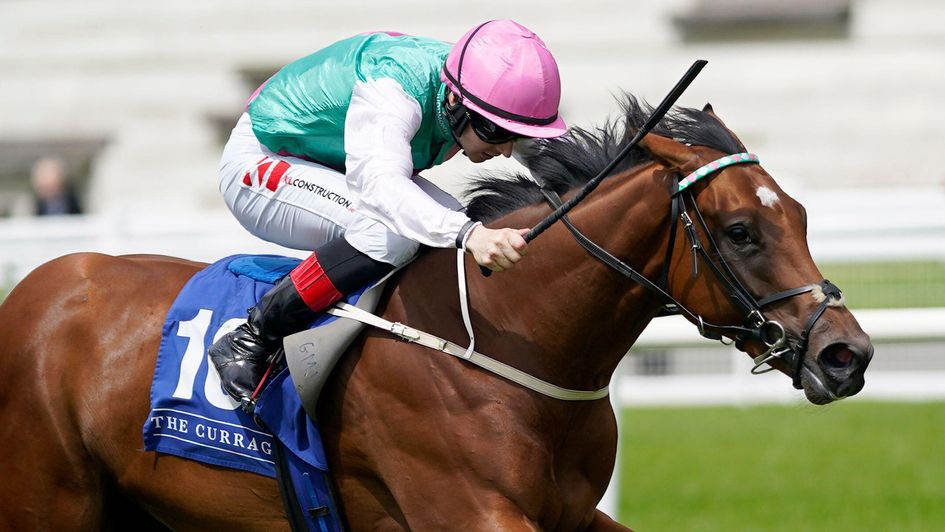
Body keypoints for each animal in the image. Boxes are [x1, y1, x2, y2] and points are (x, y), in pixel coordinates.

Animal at [0, 97, 872, 528]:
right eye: (740, 231)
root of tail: (41, 287)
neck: (510, 347)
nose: (846, 354)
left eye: (798, 215)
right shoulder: (468, 514)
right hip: (50, 503)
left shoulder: (570, 518)